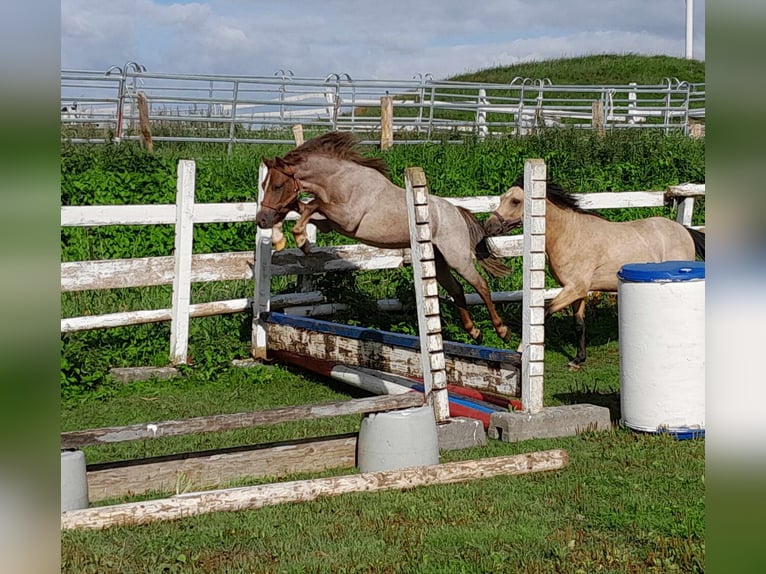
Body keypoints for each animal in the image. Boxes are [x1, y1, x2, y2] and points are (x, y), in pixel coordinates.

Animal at [258, 132, 516, 344]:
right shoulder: (330, 223)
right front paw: (286, 238)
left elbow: (313, 205)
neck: (339, 180)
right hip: (439, 261)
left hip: (457, 258)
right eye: (264, 184)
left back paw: (502, 331)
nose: (261, 220)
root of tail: (457, 212)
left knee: (481, 285)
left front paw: (300, 241)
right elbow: (302, 207)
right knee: (457, 290)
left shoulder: (347, 219)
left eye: (278, 185)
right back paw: (474, 332)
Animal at [486, 180, 708, 368]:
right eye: (501, 198)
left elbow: (545, 312)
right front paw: (578, 360)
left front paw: (520, 350)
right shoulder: (578, 292)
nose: (489, 226)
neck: (570, 235)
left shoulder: (574, 289)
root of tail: (685, 230)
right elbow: (578, 324)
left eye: (515, 201)